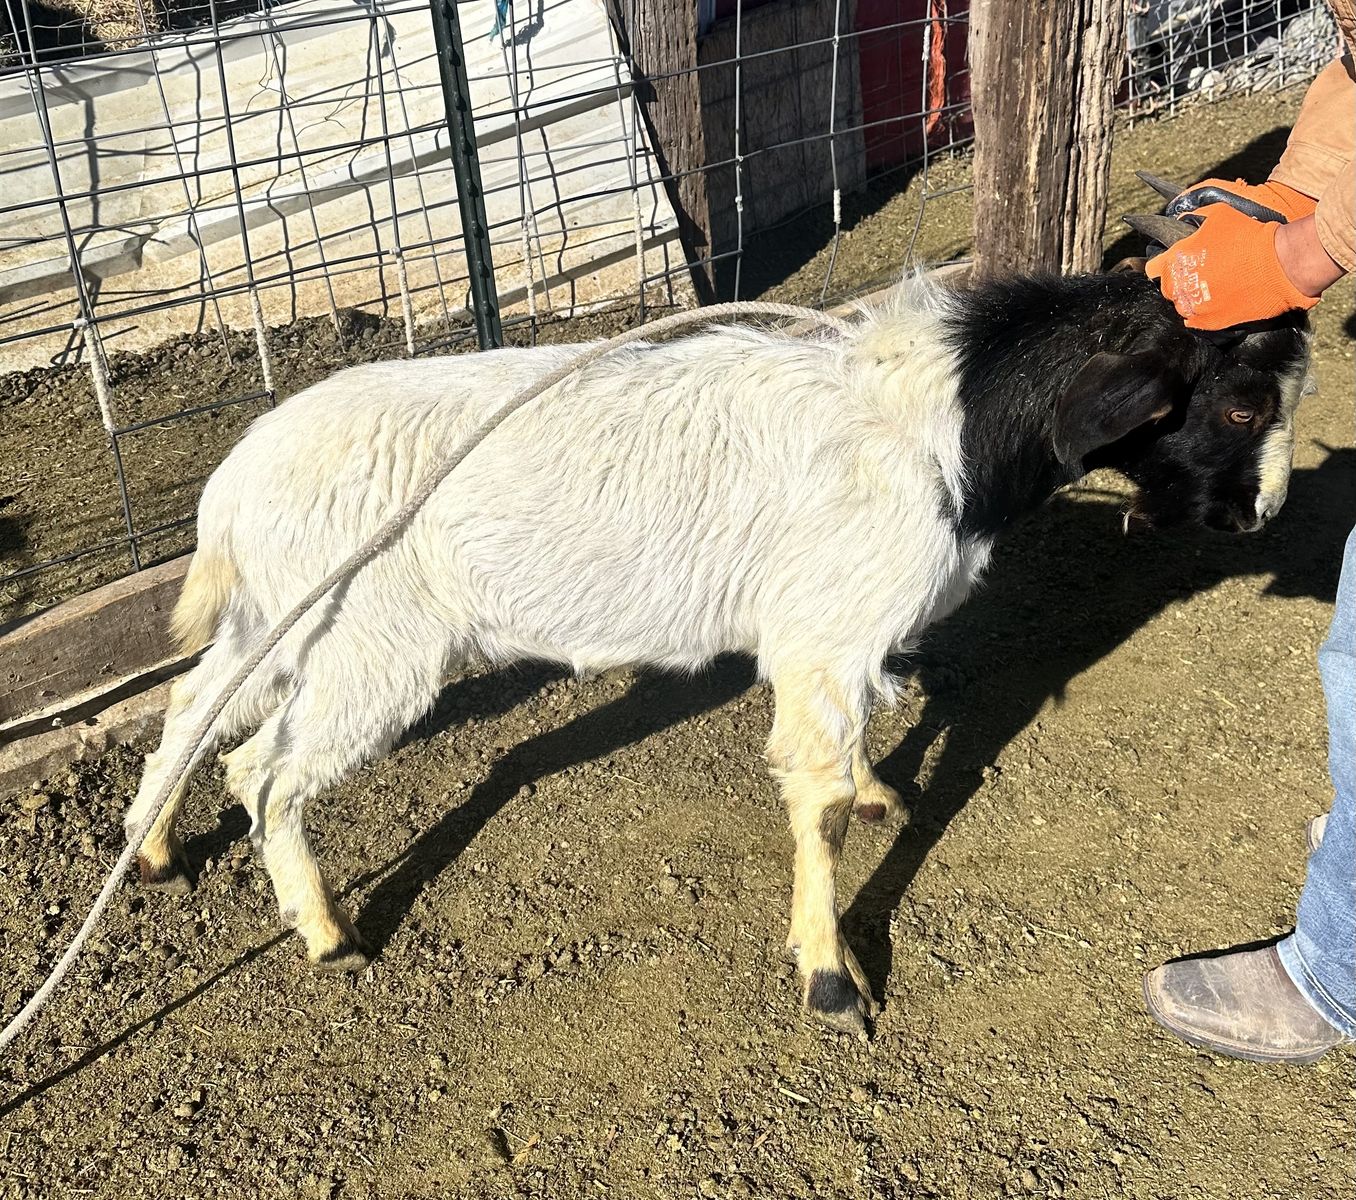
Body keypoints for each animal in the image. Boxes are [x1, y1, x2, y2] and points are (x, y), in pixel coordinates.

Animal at [126, 270, 1311, 1034]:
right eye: (1239, 401)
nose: (1257, 517)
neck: (946, 429)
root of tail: (231, 490)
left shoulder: (839, 639)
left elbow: (854, 755)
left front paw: (881, 792)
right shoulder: (826, 629)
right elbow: (815, 800)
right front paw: (832, 979)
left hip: (276, 620)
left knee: (192, 708)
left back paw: (153, 849)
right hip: (368, 644)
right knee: (263, 770)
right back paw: (325, 933)